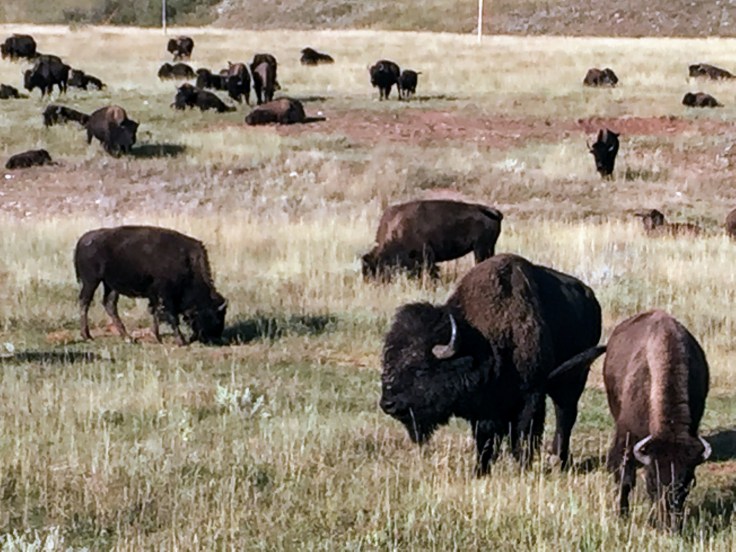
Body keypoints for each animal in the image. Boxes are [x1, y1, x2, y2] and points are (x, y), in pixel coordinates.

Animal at [75, 225, 227, 345]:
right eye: (216, 317)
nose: (216, 337)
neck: (187, 261)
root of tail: (83, 239)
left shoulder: (154, 295)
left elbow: (155, 313)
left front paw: (157, 337)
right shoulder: (165, 295)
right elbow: (170, 316)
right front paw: (180, 341)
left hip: (110, 286)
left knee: (109, 304)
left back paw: (127, 337)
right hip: (91, 281)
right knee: (85, 302)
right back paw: (87, 336)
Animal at [380, 253, 604, 473]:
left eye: (421, 369)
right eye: (389, 360)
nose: (387, 404)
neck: (479, 343)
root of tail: (591, 298)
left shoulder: (531, 396)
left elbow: (522, 436)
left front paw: (522, 468)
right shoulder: (484, 409)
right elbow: (485, 440)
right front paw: (480, 470)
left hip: (574, 378)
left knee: (565, 415)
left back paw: (560, 460)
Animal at [603, 310, 711, 531]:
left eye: (687, 482)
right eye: (652, 482)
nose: (669, 525)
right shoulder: (627, 434)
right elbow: (625, 478)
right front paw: (622, 516)